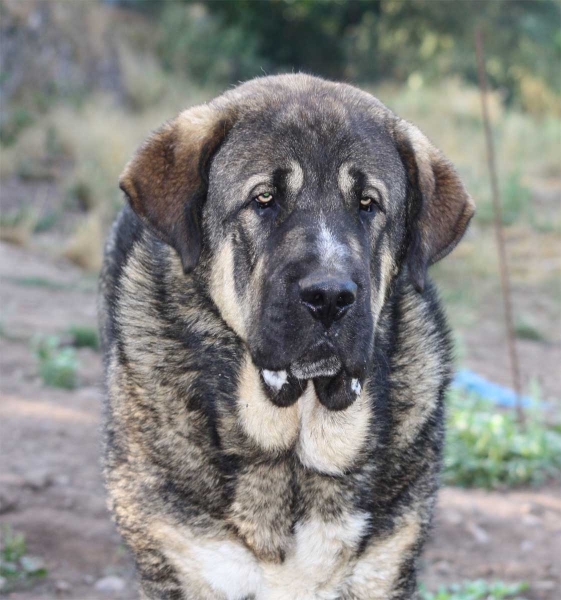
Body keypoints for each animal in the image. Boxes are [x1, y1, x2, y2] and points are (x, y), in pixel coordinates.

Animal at [99, 75, 472, 600]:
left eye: (368, 204)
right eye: (264, 199)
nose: (330, 297)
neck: (294, 450)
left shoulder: (386, 564)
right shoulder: (178, 559)